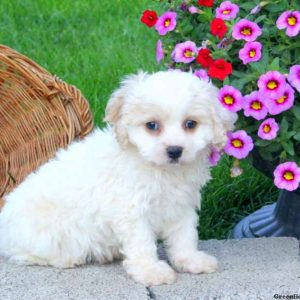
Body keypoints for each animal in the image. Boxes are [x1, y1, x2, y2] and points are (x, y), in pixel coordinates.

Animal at [0, 70, 236, 286]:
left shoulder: (182, 204)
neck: (161, 170)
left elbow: (185, 236)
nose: (175, 150)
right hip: (44, 235)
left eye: (191, 124)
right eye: (152, 125)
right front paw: (151, 271)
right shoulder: (131, 209)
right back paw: (68, 259)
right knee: (24, 253)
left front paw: (191, 260)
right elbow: (142, 242)